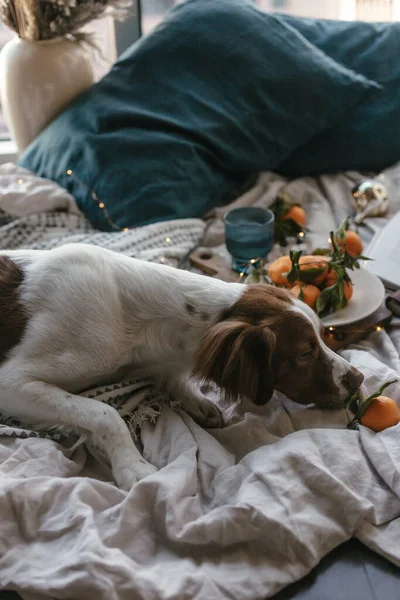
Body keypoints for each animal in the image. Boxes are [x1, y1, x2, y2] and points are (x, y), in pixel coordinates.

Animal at [0, 243, 362, 488]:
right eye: (304, 353)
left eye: (323, 335)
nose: (358, 379)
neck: (134, 318)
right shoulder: (11, 382)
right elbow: (105, 413)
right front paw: (131, 465)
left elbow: (171, 379)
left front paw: (199, 402)